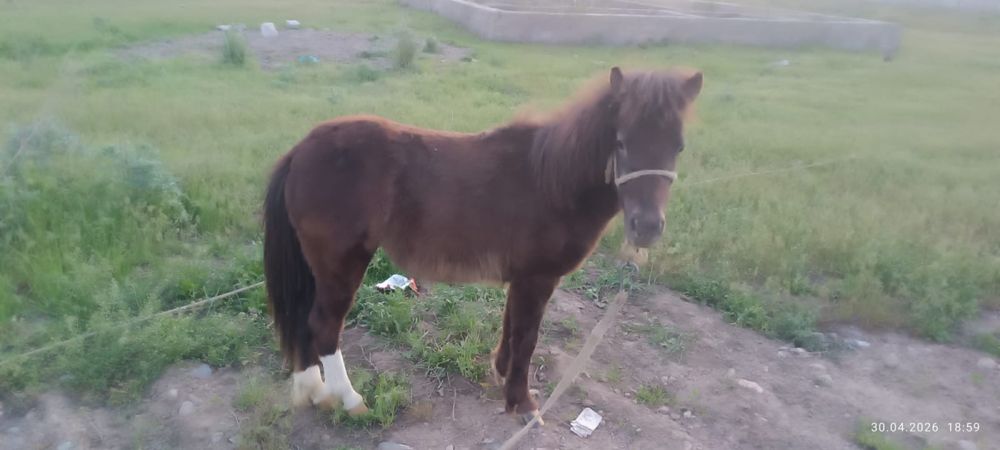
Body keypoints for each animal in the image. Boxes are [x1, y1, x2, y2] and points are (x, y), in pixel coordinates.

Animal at [262, 66, 703, 424]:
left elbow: (511, 329)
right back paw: (351, 400)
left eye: (679, 146)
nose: (647, 228)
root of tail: (301, 151)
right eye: (622, 142)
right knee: (323, 325)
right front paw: (522, 404)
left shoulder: (522, 279)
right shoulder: (537, 278)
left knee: (304, 322)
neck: (552, 181)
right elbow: (527, 338)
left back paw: (316, 392)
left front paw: (502, 376)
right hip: (341, 264)